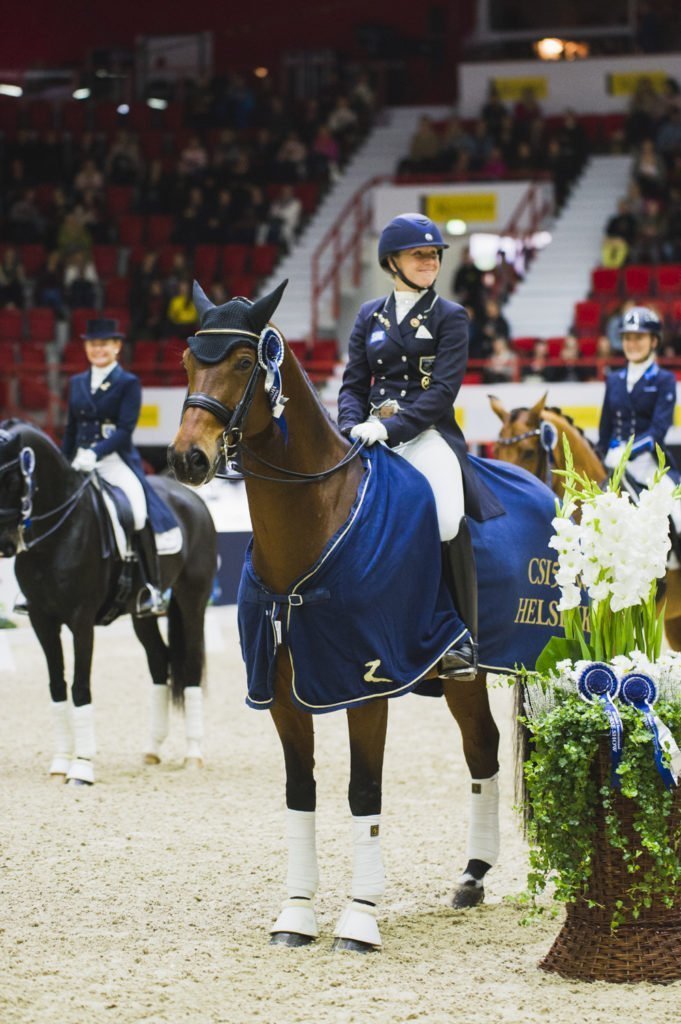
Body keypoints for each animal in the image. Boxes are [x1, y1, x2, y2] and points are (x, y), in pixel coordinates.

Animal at [0, 415, 216, 782]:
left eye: (11, 476)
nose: (5, 545)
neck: (59, 532)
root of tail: (194, 499)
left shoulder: (81, 621)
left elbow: (80, 686)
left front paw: (82, 767)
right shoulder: (43, 620)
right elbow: (57, 686)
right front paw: (60, 763)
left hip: (193, 602)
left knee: (188, 667)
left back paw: (194, 754)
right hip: (142, 613)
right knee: (159, 662)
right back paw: (152, 750)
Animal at [166, 280, 561, 950]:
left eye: (245, 363)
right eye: (190, 361)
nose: (188, 459)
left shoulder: (365, 681)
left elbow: (363, 791)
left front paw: (359, 918)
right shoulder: (281, 689)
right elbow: (301, 792)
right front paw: (296, 914)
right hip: (464, 675)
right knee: (482, 748)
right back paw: (472, 875)